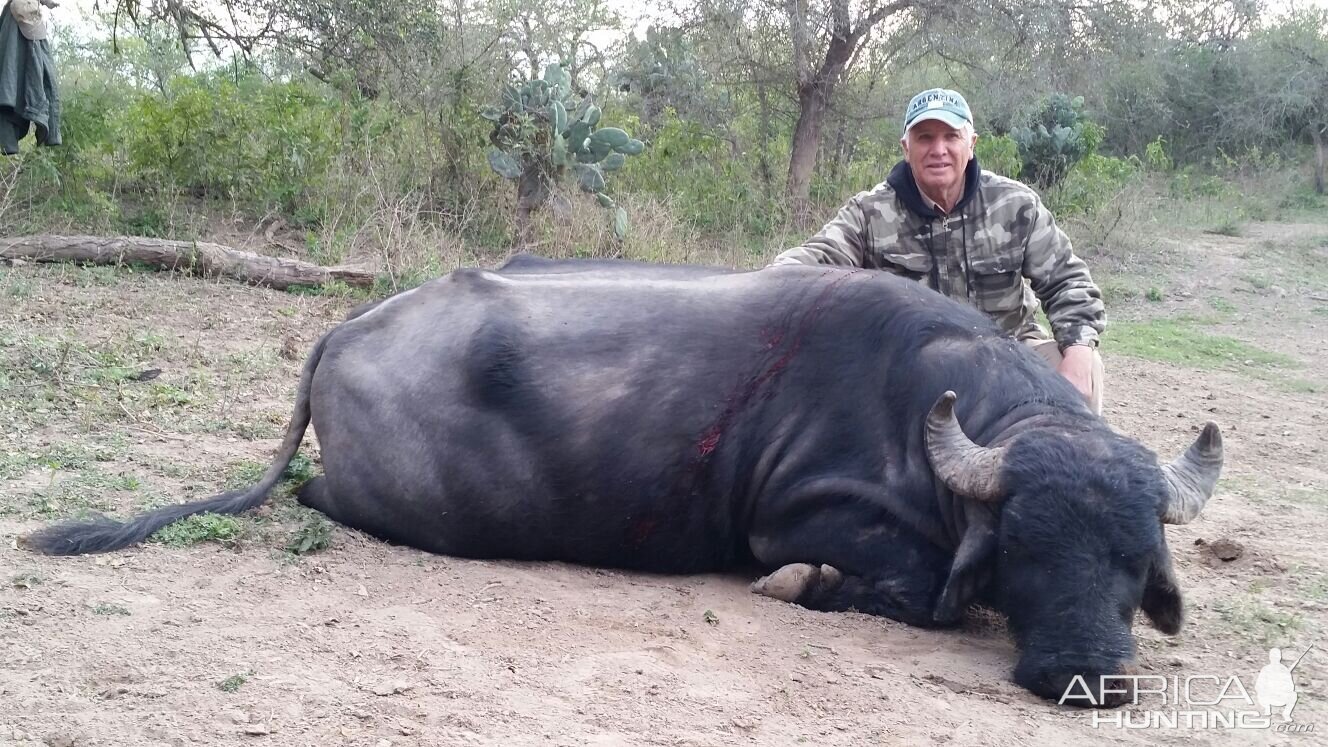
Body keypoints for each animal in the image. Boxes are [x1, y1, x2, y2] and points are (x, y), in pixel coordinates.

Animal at [23, 255, 1221, 701]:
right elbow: (915, 594)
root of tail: (349, 328)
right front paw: (809, 585)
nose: (1085, 673)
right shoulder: (812, 517)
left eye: (1134, 561)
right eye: (1022, 549)